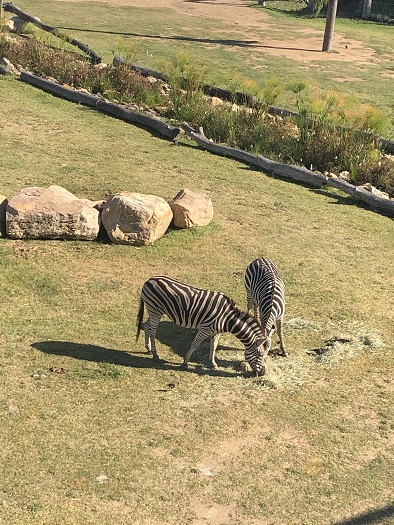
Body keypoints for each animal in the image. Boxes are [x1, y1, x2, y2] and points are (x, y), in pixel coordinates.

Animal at [135, 276, 268, 374]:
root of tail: (149, 280)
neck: (228, 318)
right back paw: (155, 355)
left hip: (154, 311)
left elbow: (213, 346)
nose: (263, 373)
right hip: (155, 310)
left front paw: (213, 364)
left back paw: (148, 348)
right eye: (260, 355)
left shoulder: (216, 331)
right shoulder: (205, 328)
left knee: (146, 326)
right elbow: (195, 344)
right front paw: (185, 362)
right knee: (152, 331)